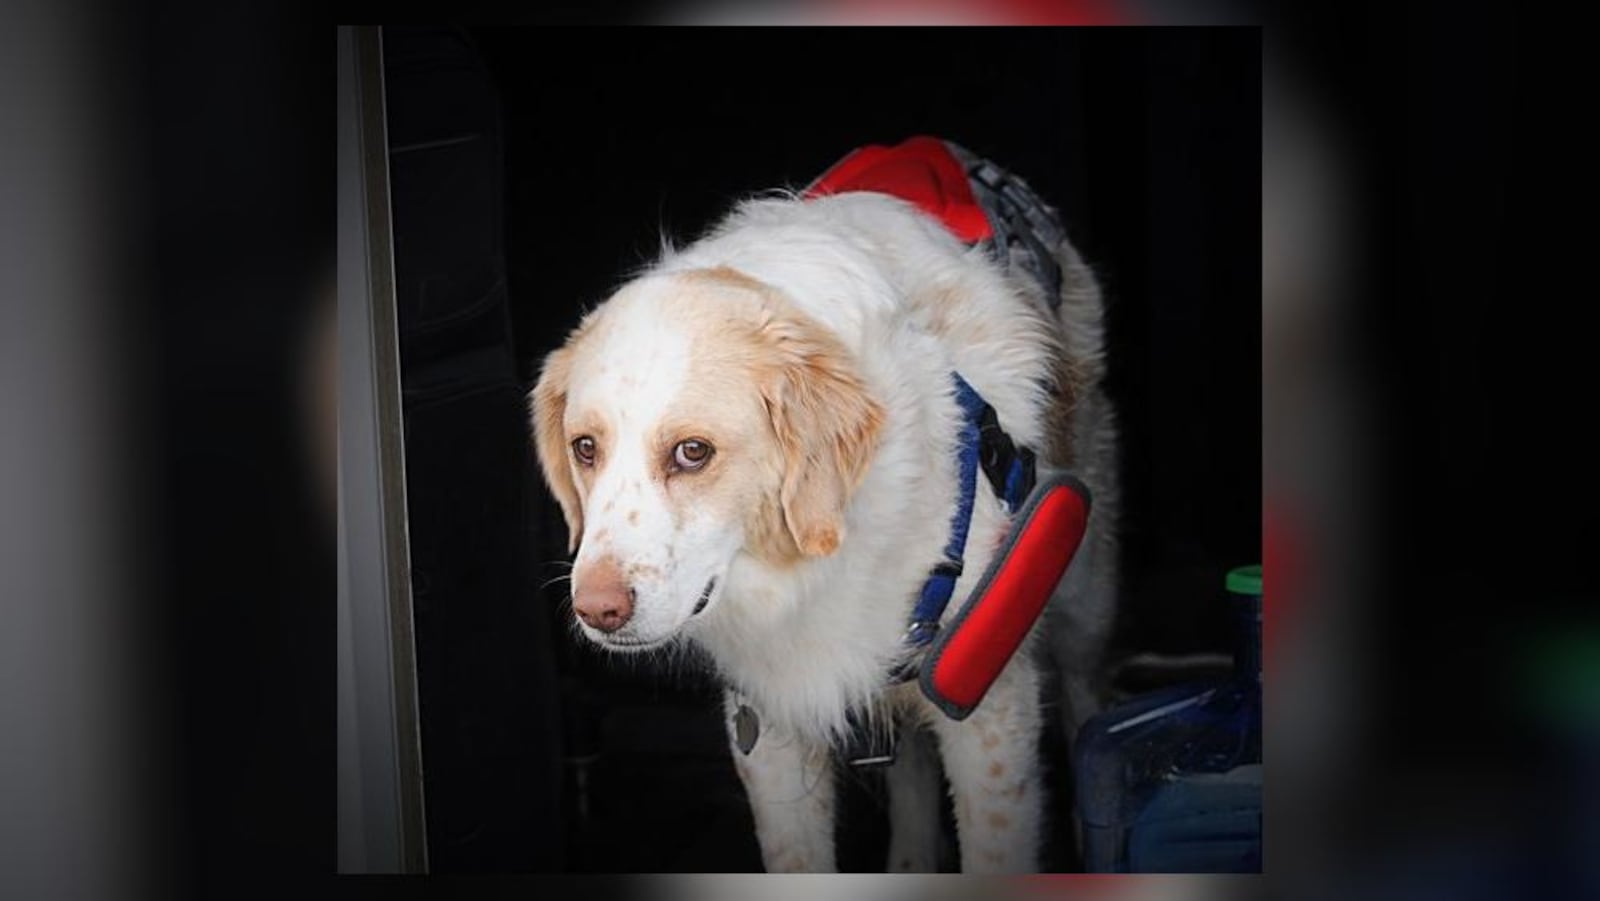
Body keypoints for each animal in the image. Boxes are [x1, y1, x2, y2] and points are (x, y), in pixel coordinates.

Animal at [531, 164, 1120, 876]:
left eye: (692, 452)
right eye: (585, 448)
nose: (597, 612)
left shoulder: (990, 709)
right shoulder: (767, 729)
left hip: (1084, 600)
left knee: (1088, 702)